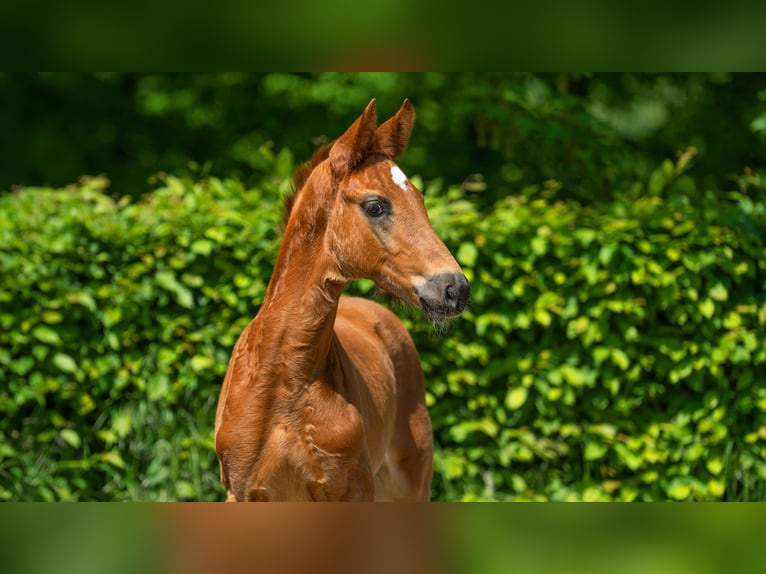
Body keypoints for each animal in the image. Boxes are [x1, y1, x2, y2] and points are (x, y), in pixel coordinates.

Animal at [213, 100, 472, 504]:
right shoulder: (241, 493)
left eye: (421, 200)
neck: (283, 386)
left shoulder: (353, 490)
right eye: (376, 206)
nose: (455, 288)